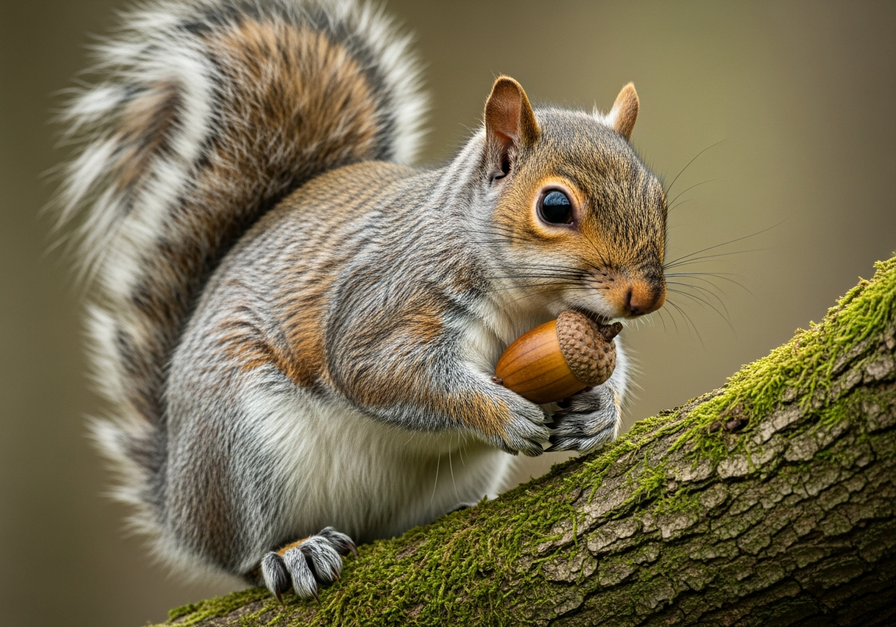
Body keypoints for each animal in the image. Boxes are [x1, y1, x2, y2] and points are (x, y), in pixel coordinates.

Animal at [57, 0, 667, 602]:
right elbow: (378, 370)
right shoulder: (385, 300)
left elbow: (609, 366)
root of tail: (178, 498)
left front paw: (599, 414)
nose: (644, 296)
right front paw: (501, 413)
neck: (527, 304)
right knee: (243, 555)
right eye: (555, 207)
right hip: (239, 448)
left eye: (658, 196)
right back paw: (292, 552)